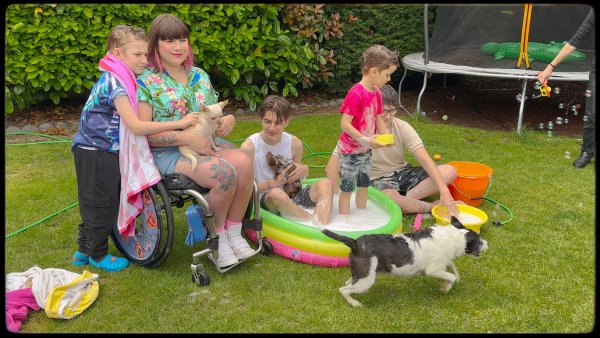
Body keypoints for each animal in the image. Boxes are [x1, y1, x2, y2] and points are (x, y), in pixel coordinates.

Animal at [324, 217, 488, 306]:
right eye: (479, 241)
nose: (488, 243)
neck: (453, 236)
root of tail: (355, 243)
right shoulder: (433, 270)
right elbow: (450, 276)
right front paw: (446, 288)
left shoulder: (443, 262)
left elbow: (452, 266)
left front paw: (456, 278)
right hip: (366, 280)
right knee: (343, 289)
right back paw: (354, 303)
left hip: (361, 274)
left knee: (348, 283)